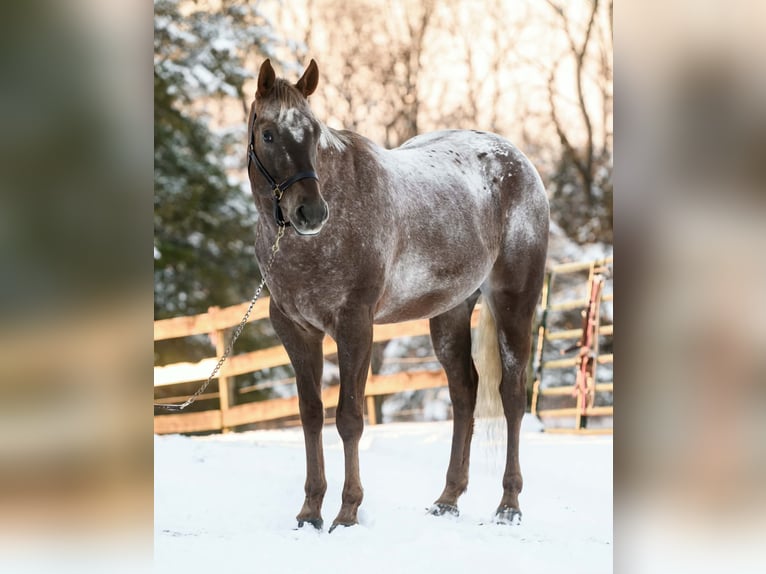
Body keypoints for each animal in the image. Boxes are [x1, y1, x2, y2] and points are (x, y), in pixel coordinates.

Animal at [246, 59, 549, 532]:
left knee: (512, 395)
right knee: (465, 393)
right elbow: (311, 415)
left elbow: (349, 418)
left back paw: (508, 505)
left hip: (513, 301)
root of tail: (518, 161)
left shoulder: (354, 325)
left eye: (313, 133)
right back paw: (448, 499)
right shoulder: (295, 330)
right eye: (269, 134)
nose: (310, 212)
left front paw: (347, 513)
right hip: (450, 311)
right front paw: (310, 511)